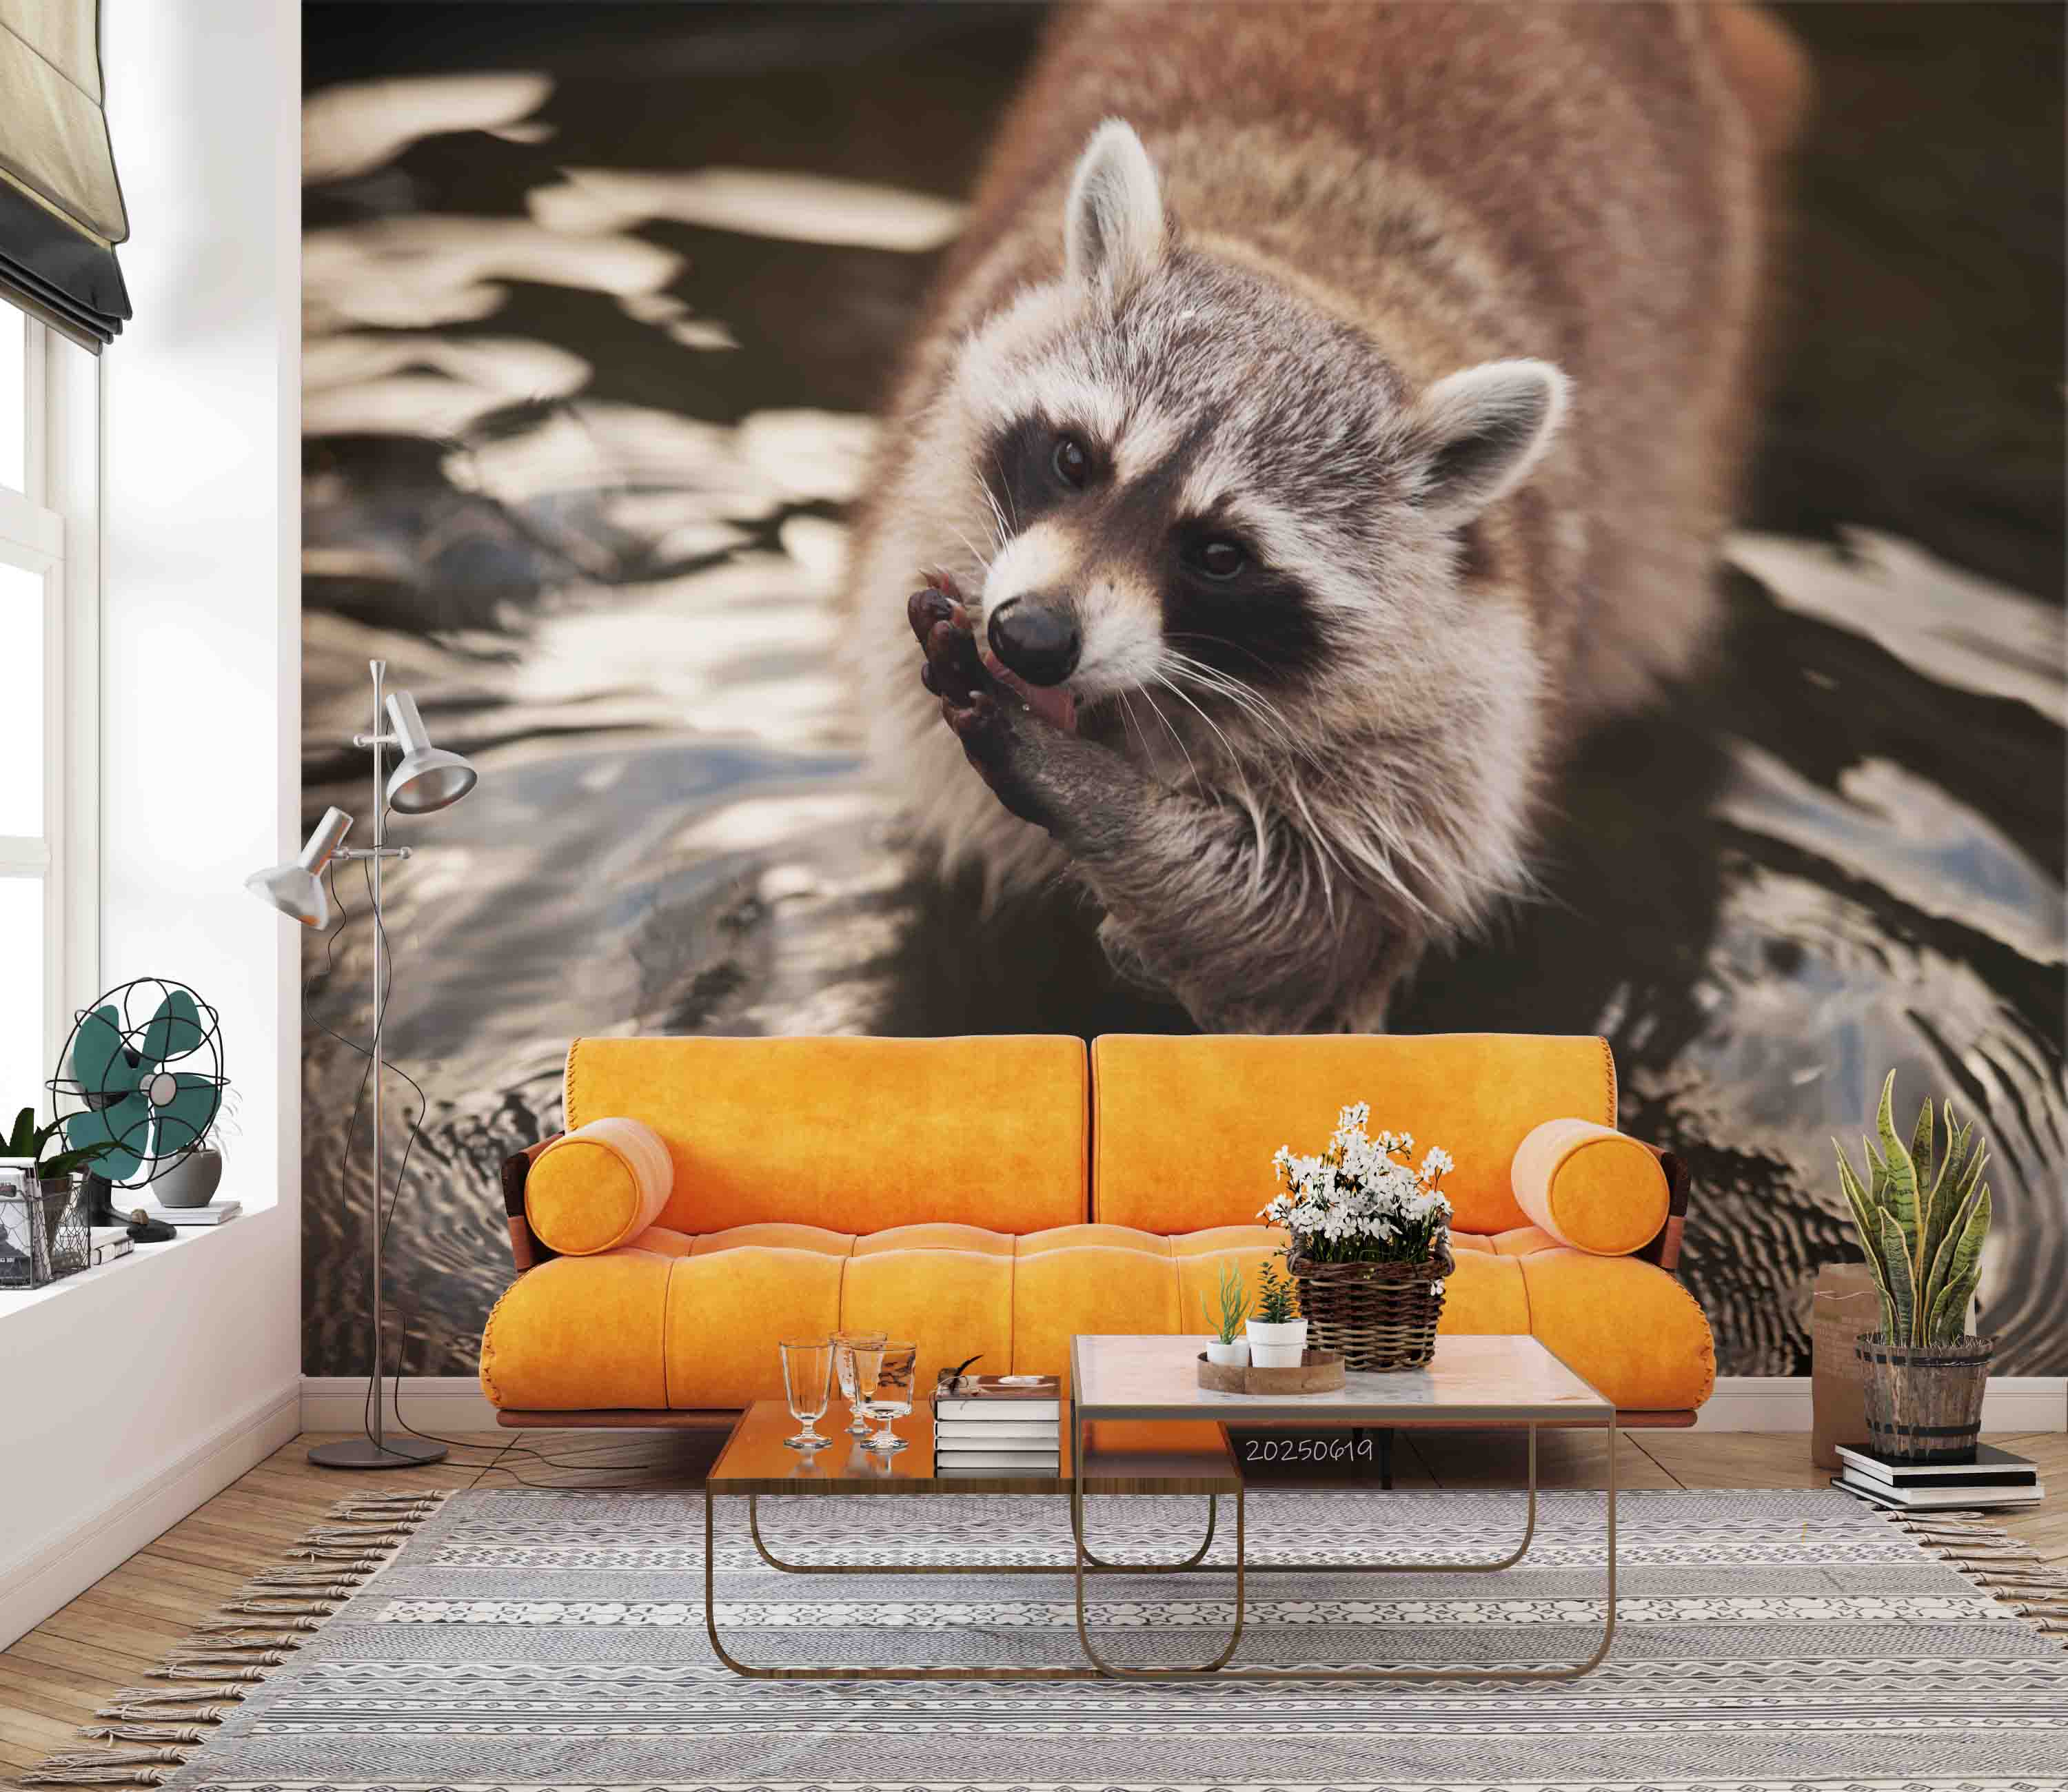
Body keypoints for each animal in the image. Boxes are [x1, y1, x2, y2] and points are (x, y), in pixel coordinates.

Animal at [849, 2, 1803, 1032]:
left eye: (1221, 554)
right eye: (1073, 459)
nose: (1031, 638)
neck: (1321, 269)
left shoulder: (1463, 700)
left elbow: (1314, 929)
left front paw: (1093, 796)